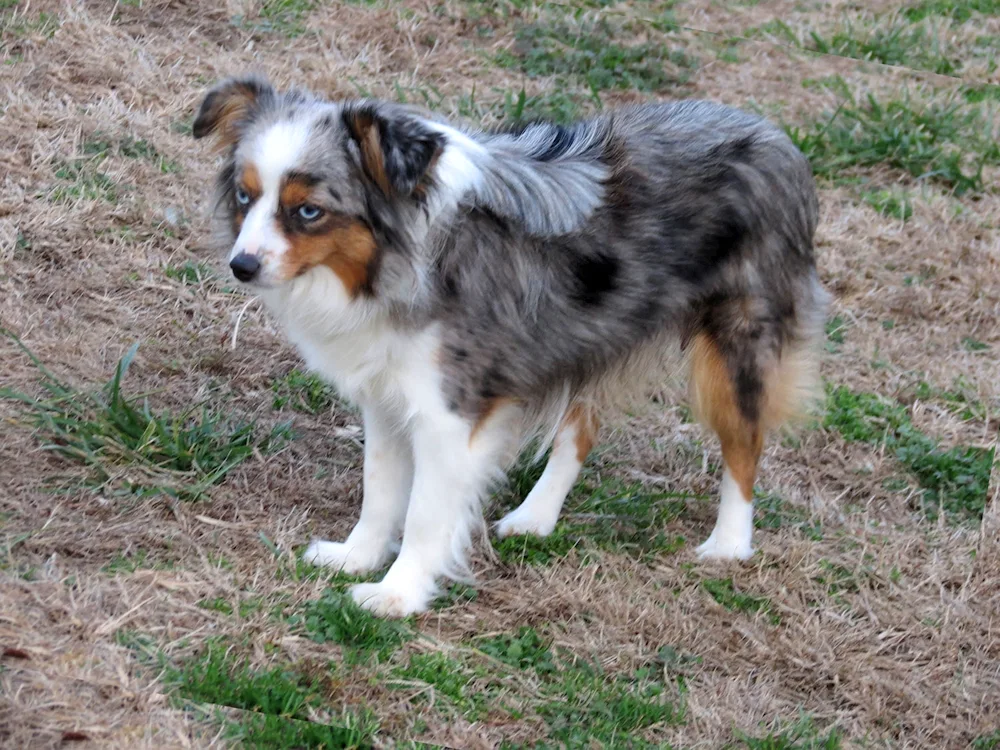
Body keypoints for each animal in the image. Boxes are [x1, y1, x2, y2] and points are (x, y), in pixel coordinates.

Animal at [191, 75, 824, 616]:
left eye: (308, 211)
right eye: (246, 198)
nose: (241, 266)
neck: (398, 263)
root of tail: (774, 134)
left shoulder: (448, 414)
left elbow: (424, 514)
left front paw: (398, 594)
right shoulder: (388, 398)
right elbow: (380, 490)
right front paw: (357, 558)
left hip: (735, 349)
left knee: (744, 444)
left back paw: (728, 545)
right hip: (590, 332)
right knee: (580, 427)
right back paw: (536, 516)